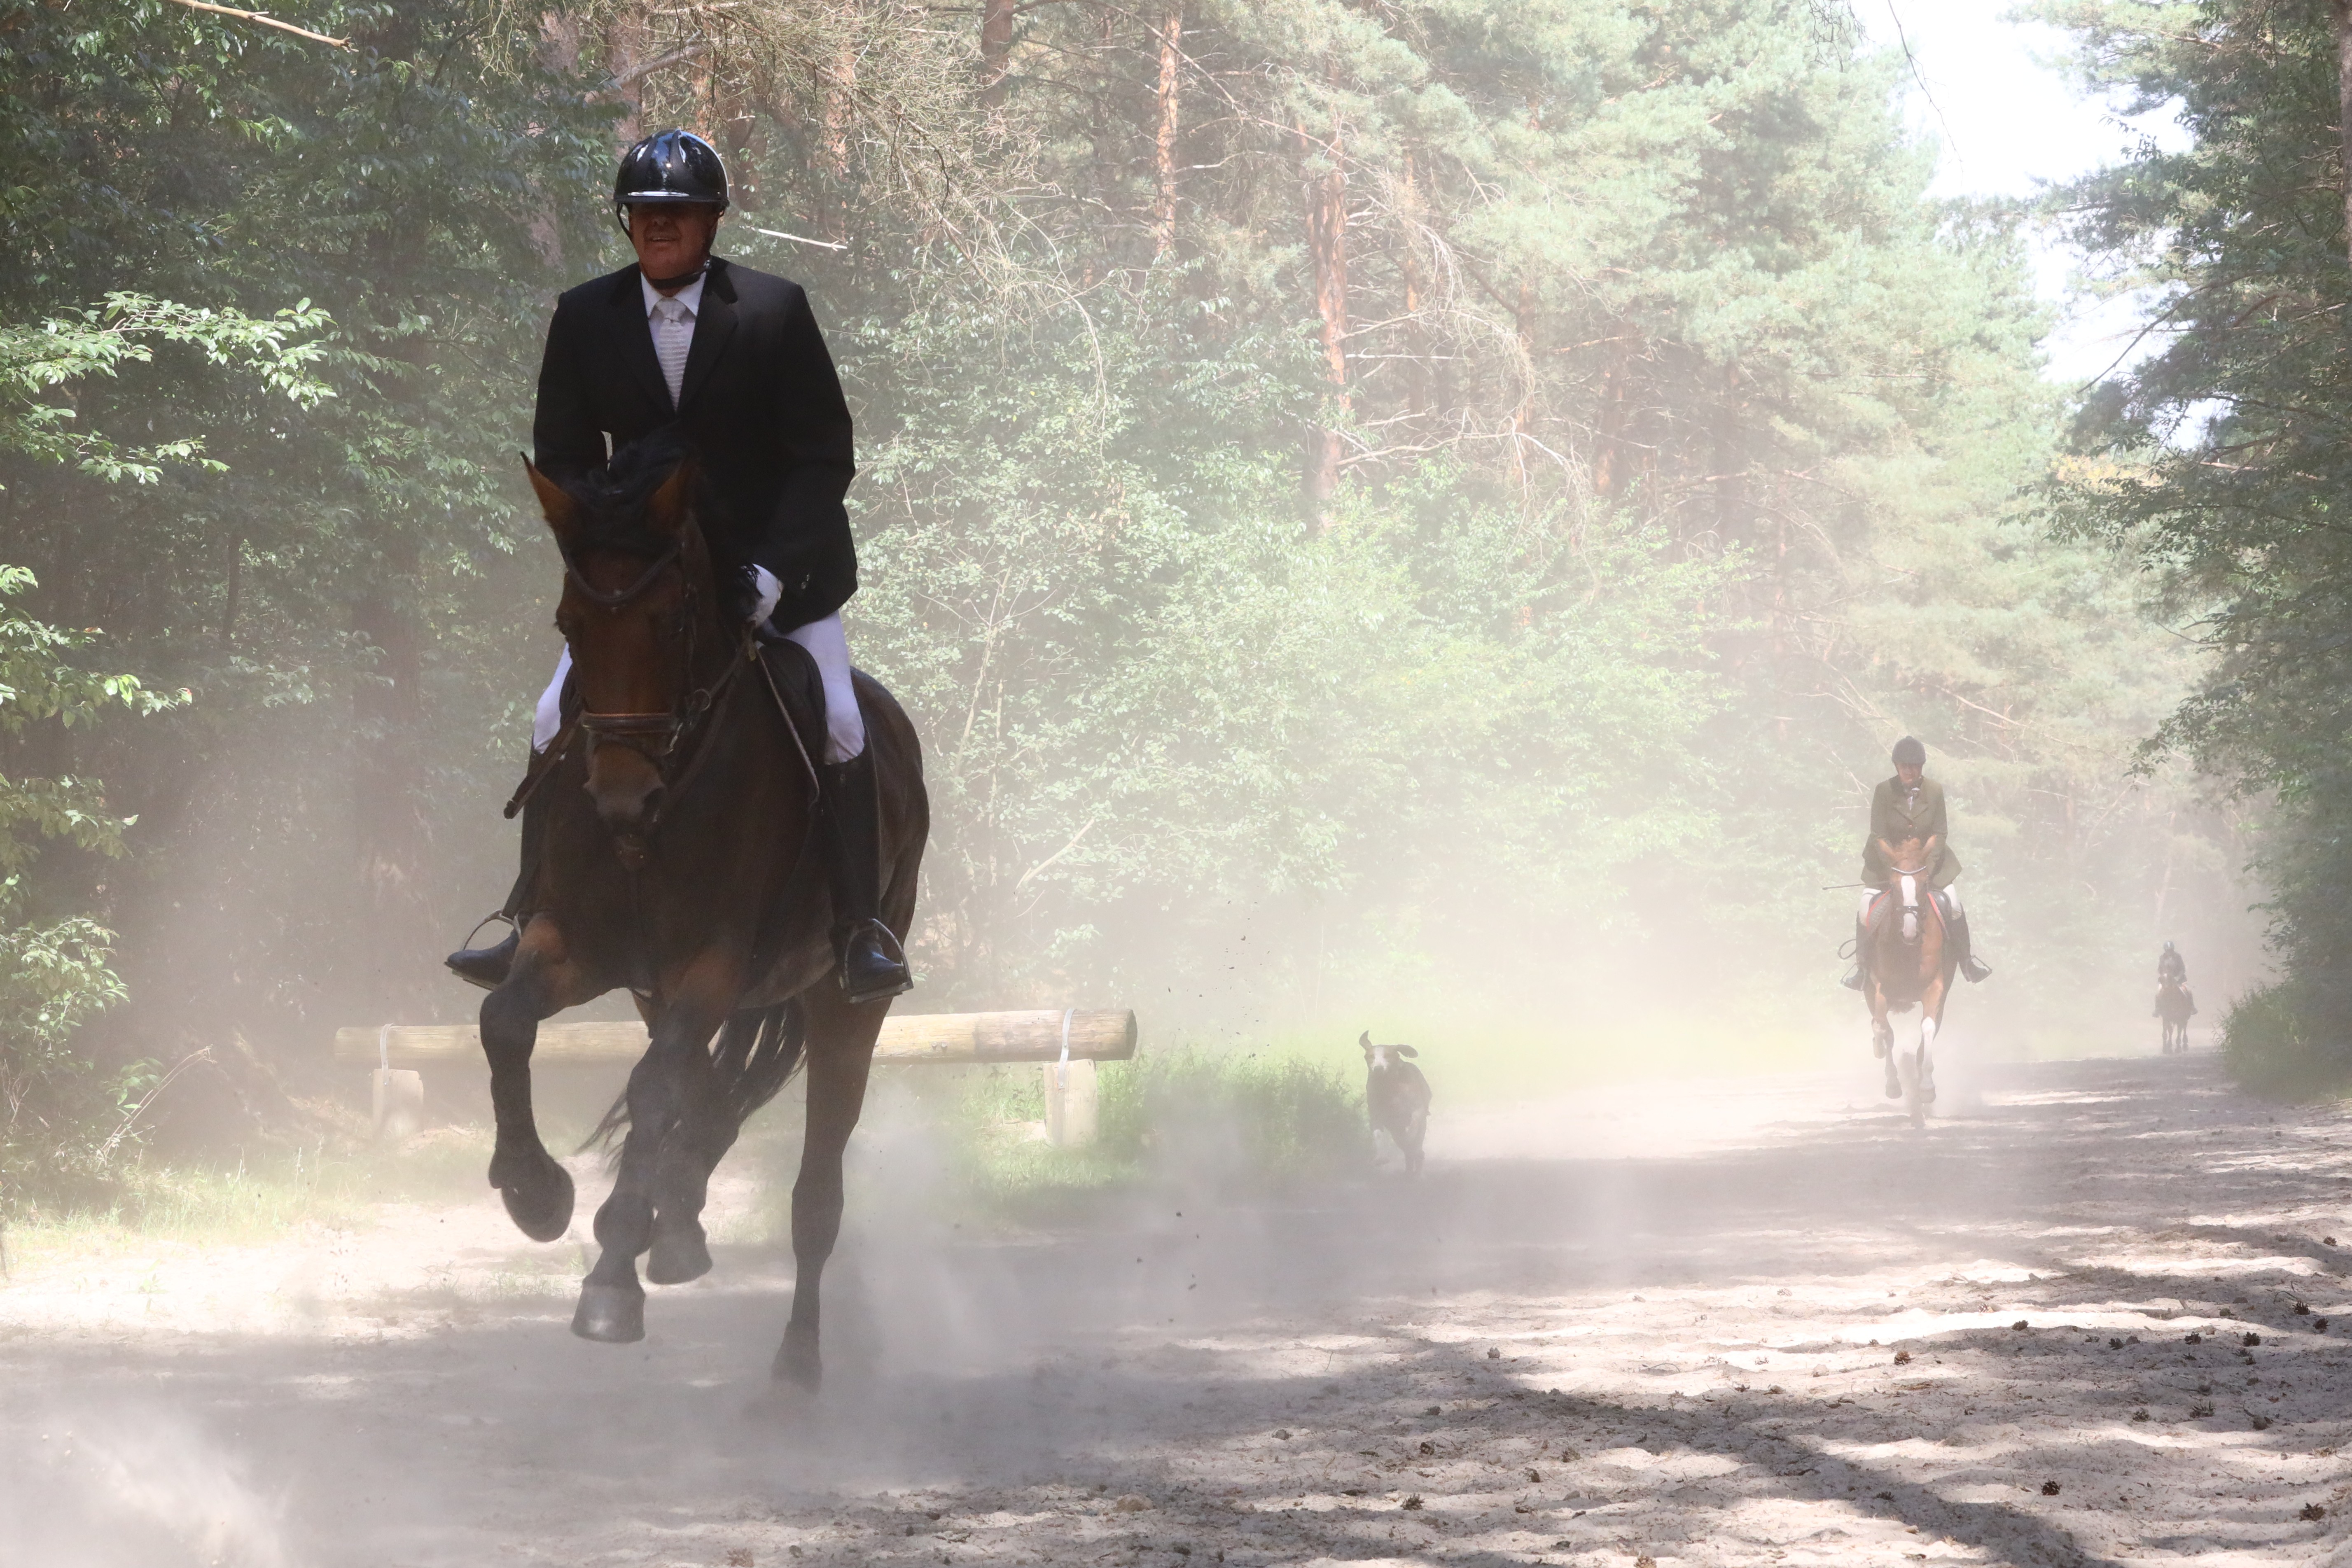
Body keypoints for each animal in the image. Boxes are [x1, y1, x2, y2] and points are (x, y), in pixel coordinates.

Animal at [476, 434, 927, 1389]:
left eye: (674, 619)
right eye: (569, 625)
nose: (622, 798)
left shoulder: (712, 966)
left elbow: (654, 1089)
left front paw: (610, 1276)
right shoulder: (576, 946)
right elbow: (506, 1022)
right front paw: (536, 1192)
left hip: (841, 1001)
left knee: (813, 1190)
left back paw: (793, 1365)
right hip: (656, 990)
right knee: (707, 1096)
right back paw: (677, 1221)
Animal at [1360, 1031, 1431, 1176]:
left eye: (1388, 1056)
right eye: (1370, 1057)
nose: (1378, 1069)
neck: (1389, 1087)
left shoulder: (1417, 1111)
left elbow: (1412, 1131)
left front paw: (1410, 1141)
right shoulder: (1377, 1116)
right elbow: (1378, 1135)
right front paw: (1381, 1158)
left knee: (1417, 1147)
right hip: (1396, 1129)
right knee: (1406, 1149)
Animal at [1858, 840, 1958, 1128]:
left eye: (1924, 885)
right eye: (1892, 887)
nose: (1910, 931)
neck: (1908, 950)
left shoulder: (1935, 989)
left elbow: (1927, 1029)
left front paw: (1926, 1088)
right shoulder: (1879, 990)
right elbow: (1884, 1029)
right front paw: (1893, 1083)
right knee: (1880, 1027)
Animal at [2156, 976, 2196, 1054]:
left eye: (2171, 980)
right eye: (2162, 980)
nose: (2165, 991)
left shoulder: (2179, 1018)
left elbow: (2179, 1031)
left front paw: (2178, 1049)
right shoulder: (2166, 1017)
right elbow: (2168, 1031)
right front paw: (2166, 1048)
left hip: (2186, 1017)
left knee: (2184, 1028)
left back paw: (2185, 1045)